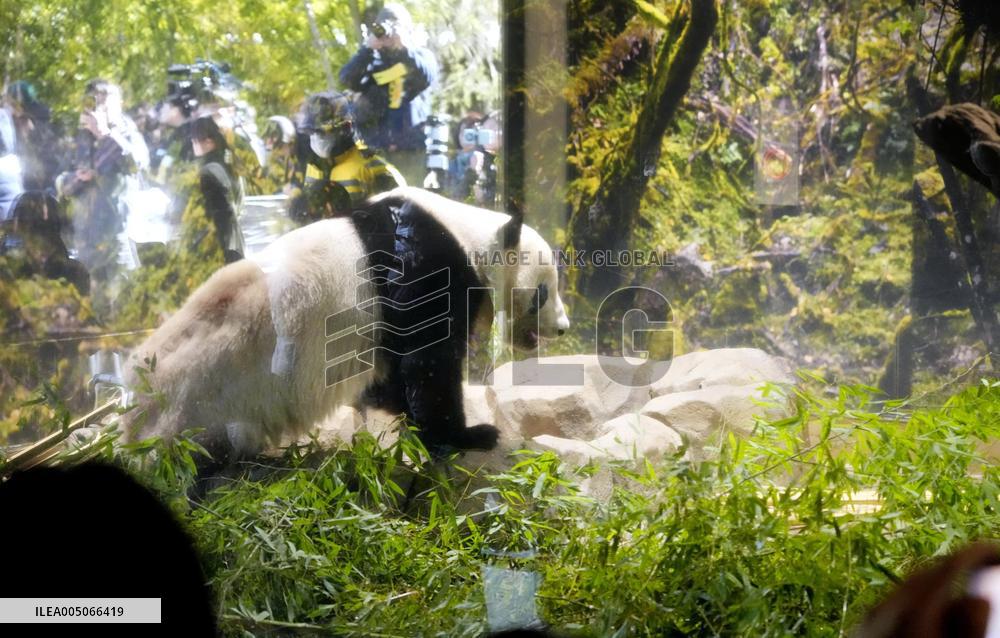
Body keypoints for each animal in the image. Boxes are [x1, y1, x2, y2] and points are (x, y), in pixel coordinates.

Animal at [121, 187, 570, 466]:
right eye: (544, 292)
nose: (563, 327)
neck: (468, 233)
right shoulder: (427, 266)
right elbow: (428, 362)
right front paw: (469, 435)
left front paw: (395, 408)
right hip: (210, 403)